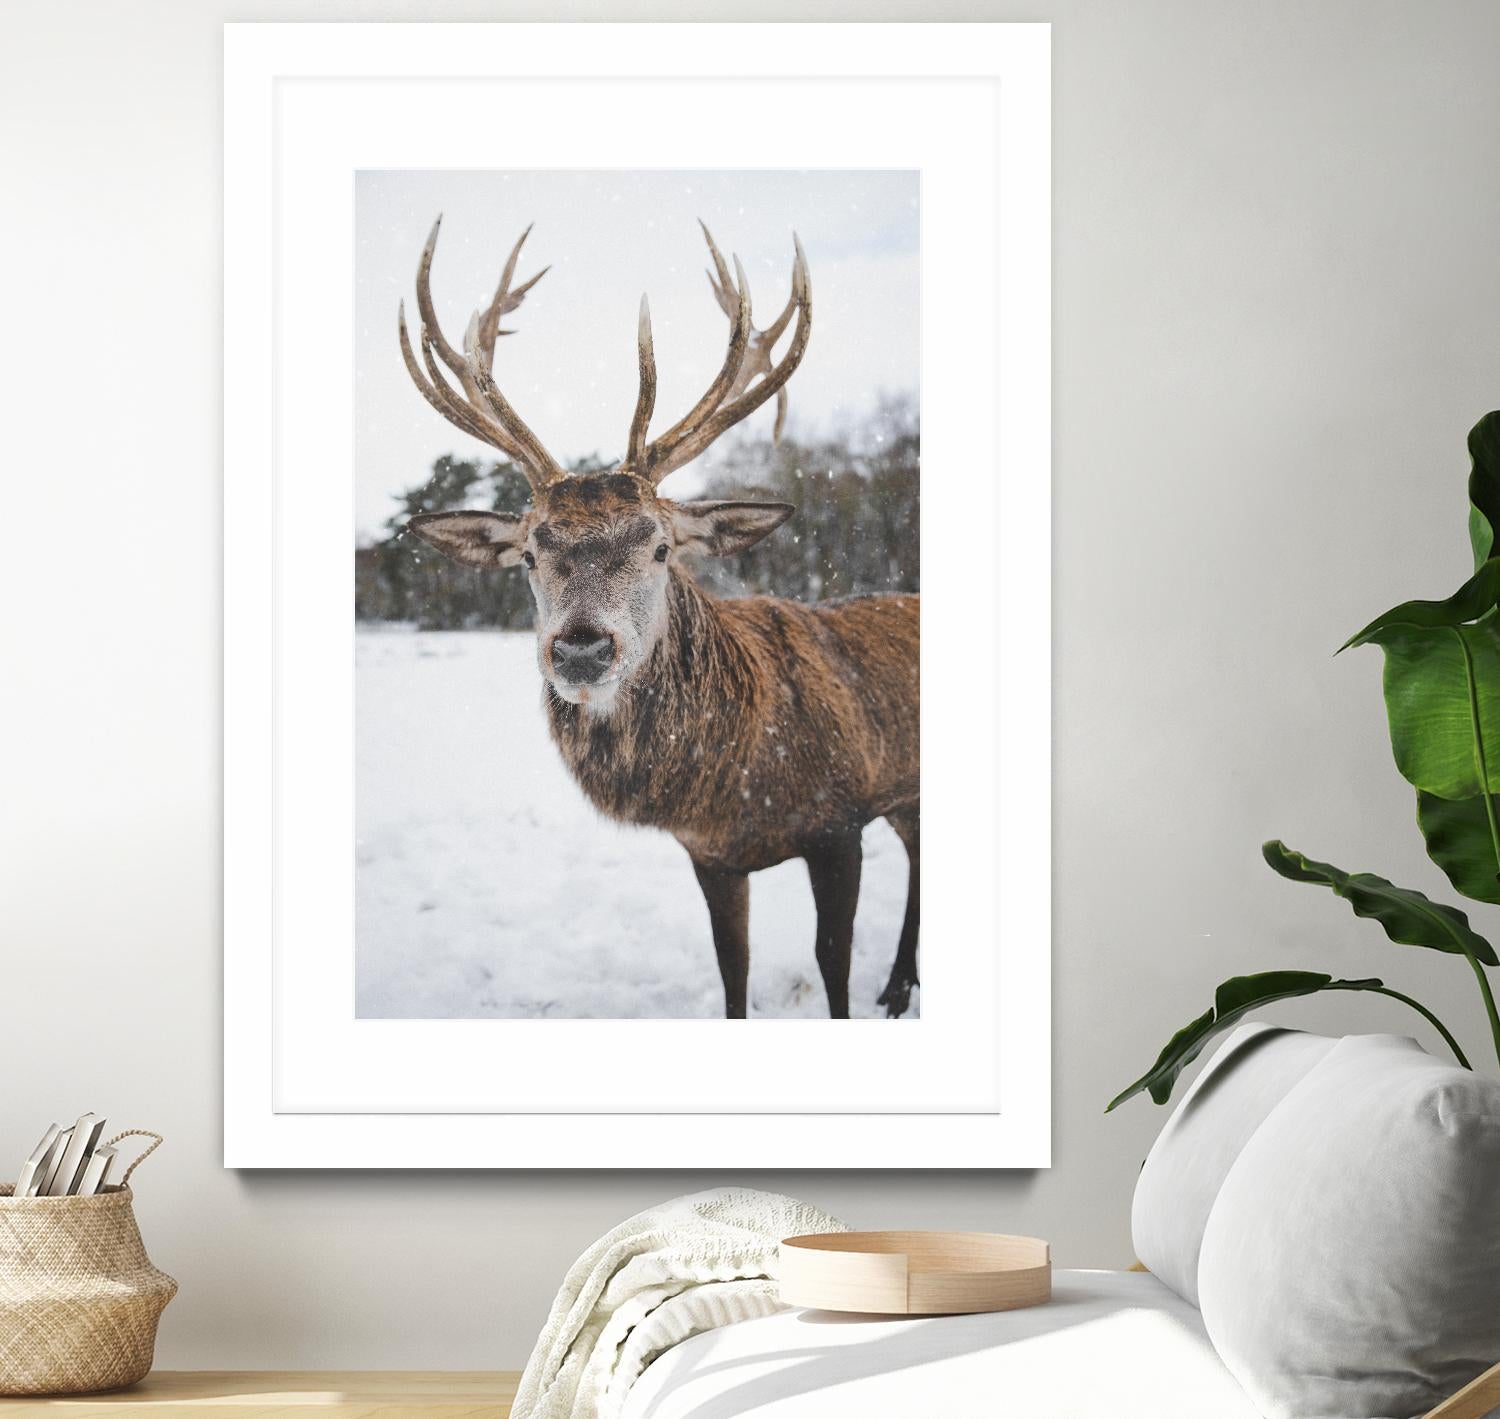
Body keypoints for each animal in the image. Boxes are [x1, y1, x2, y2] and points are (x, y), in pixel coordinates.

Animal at [398, 215, 919, 1019]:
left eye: (661, 545)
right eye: (529, 553)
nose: (582, 649)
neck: (739, 784)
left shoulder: (841, 820)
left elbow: (832, 965)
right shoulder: (709, 855)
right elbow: (732, 968)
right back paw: (897, 983)